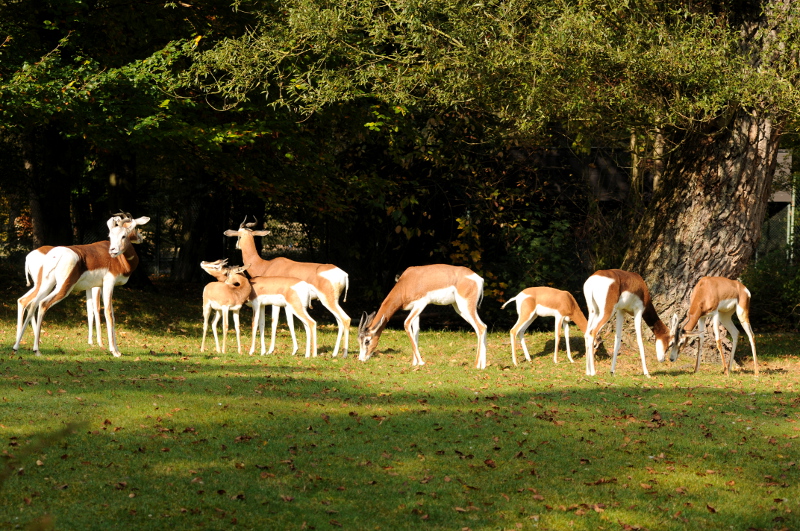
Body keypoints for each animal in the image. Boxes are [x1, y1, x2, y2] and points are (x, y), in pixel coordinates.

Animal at [13, 214, 149, 357]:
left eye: (123, 235)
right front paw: (112, 350)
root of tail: (55, 255)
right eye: (111, 236)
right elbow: (106, 313)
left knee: (28, 302)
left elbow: (101, 312)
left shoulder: (97, 286)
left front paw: (113, 348)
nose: (113, 250)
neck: (121, 260)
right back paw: (36, 349)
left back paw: (17, 346)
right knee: (43, 303)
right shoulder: (107, 283)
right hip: (64, 287)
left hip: (45, 284)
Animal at [224, 217, 351, 357]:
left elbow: (274, 322)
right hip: (333, 302)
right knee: (339, 321)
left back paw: (343, 354)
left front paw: (270, 350)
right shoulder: (283, 304)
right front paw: (293, 350)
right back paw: (334, 353)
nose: (236, 246)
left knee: (345, 319)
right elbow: (289, 323)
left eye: (238, 235)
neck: (265, 265)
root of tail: (343, 274)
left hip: (327, 301)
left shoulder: (275, 303)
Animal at [357, 264, 488, 369]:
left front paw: (421, 362)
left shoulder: (421, 304)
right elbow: (416, 330)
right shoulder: (415, 309)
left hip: (464, 306)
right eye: (359, 340)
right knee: (483, 327)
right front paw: (414, 363)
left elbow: (406, 324)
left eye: (367, 341)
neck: (406, 282)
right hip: (459, 308)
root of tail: (479, 279)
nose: (361, 359)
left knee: (480, 327)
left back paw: (476, 365)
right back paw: (483, 365)